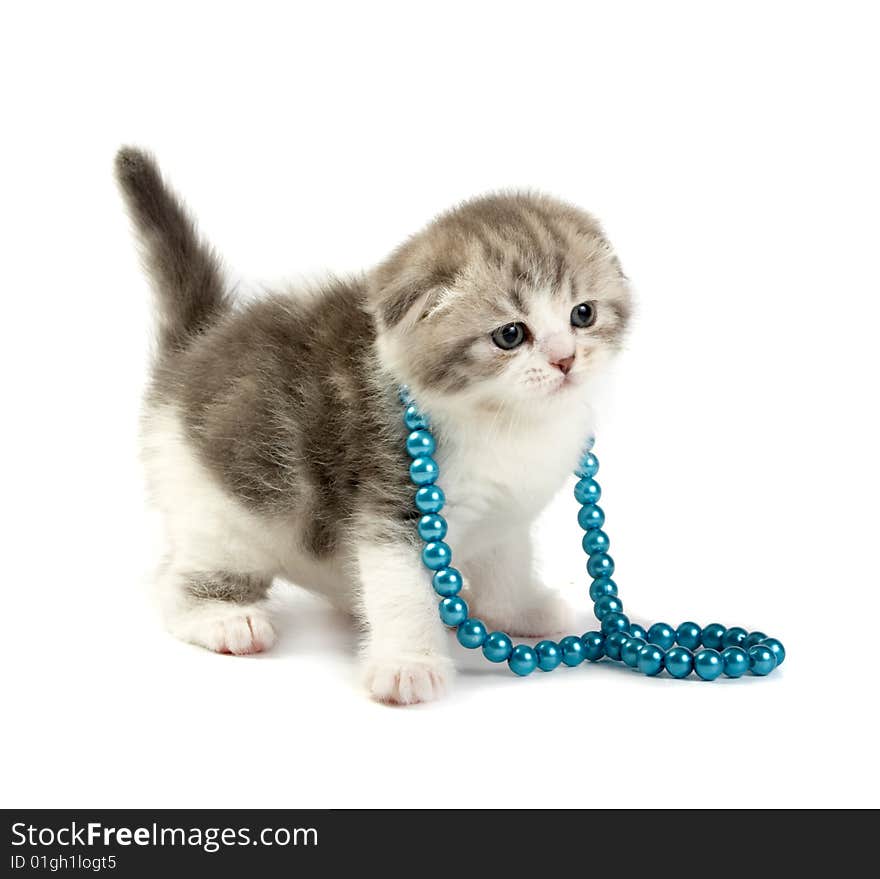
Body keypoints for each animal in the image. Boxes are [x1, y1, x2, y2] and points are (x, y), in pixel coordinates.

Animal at [117, 148, 628, 704]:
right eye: (511, 334)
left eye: (583, 313)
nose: (565, 359)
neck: (505, 421)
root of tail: (194, 350)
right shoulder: (389, 497)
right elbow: (401, 589)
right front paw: (408, 665)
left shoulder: (506, 514)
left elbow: (507, 566)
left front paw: (523, 611)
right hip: (222, 513)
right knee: (176, 580)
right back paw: (223, 618)